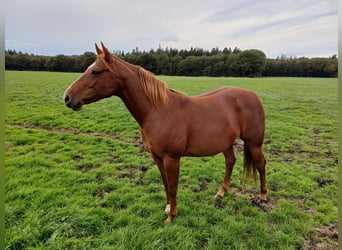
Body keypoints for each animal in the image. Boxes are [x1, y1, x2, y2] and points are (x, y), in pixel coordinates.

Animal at [63, 42, 268, 223]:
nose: (67, 97)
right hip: (226, 142)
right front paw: (168, 207)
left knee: (260, 164)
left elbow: (173, 186)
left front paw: (172, 216)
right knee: (230, 161)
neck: (158, 111)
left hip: (254, 143)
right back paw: (221, 192)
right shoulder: (157, 157)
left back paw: (263, 197)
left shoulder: (172, 158)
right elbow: (165, 184)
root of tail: (254, 96)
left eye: (95, 71)